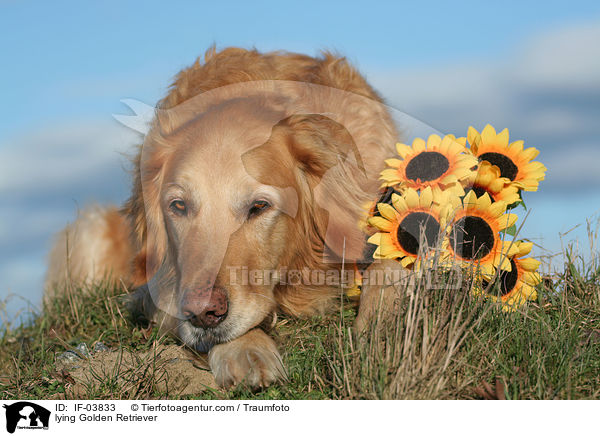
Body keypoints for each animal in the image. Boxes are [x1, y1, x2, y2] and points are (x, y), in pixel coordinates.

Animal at [45, 46, 398, 388]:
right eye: (178, 206)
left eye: (259, 206)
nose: (202, 313)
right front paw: (245, 350)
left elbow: (389, 264)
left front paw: (383, 330)